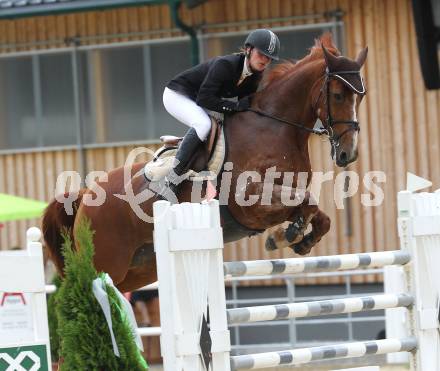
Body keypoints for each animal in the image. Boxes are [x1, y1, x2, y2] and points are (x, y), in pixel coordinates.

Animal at [43, 35, 368, 292]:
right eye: (338, 95)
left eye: (360, 99)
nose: (348, 154)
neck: (276, 127)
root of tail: (85, 195)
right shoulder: (251, 202)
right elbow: (306, 202)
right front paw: (283, 237)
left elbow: (318, 214)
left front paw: (300, 240)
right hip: (107, 264)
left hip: (138, 269)